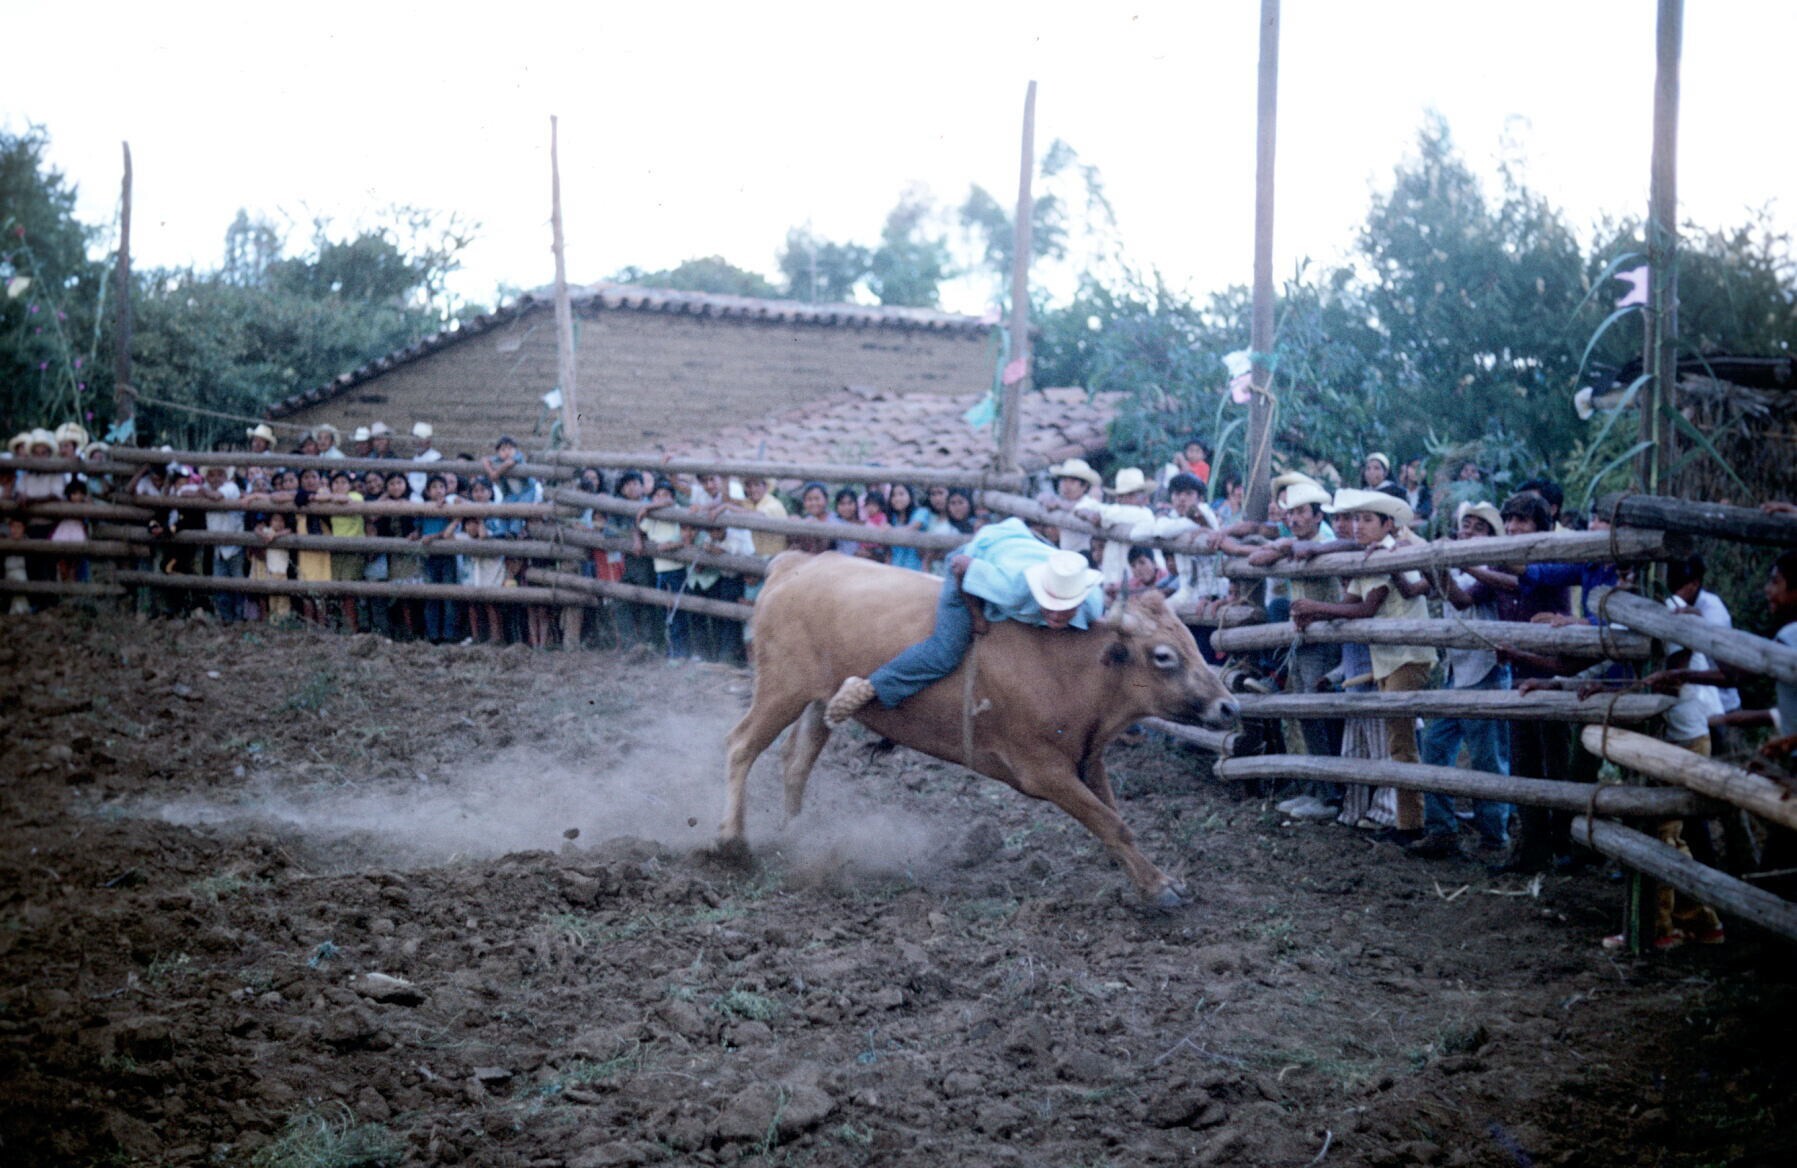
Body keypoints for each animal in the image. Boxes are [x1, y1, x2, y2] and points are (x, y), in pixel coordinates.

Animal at [718, 551, 1240, 907]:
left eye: (1190, 640)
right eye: (1163, 656)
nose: (1229, 706)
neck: (1071, 668)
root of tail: (796, 563)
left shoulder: (1089, 760)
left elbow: (1115, 821)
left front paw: (1152, 878)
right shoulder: (1044, 771)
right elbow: (1111, 823)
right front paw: (1159, 888)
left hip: (816, 700)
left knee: (796, 761)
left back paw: (795, 836)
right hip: (781, 688)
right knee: (741, 746)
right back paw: (732, 843)